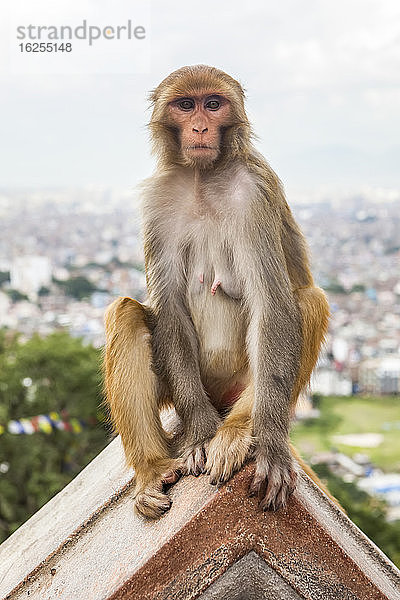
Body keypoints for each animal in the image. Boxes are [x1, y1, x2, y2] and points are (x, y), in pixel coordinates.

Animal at [104, 63, 332, 516]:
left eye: (213, 103)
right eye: (184, 104)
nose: (199, 126)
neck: (202, 177)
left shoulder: (256, 192)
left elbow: (271, 302)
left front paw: (270, 450)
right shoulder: (158, 200)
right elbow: (169, 308)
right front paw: (198, 435)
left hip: (248, 384)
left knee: (306, 302)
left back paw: (242, 430)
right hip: (187, 385)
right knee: (127, 314)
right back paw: (154, 468)